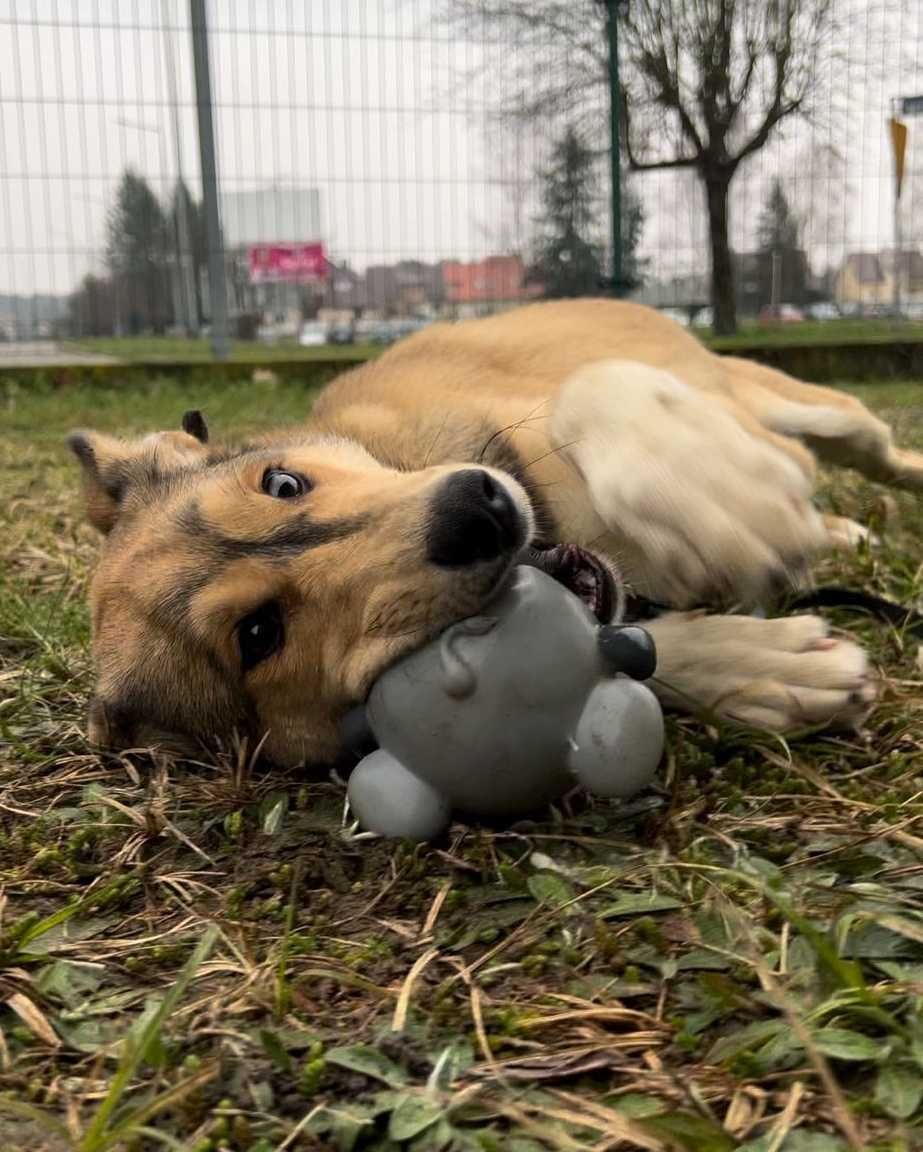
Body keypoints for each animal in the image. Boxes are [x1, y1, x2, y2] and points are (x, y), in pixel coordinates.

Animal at [70, 299, 921, 764]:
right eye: (257, 635)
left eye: (282, 482)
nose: (476, 510)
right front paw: (766, 668)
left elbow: (591, 390)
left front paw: (722, 498)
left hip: (808, 407)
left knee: (875, 451)